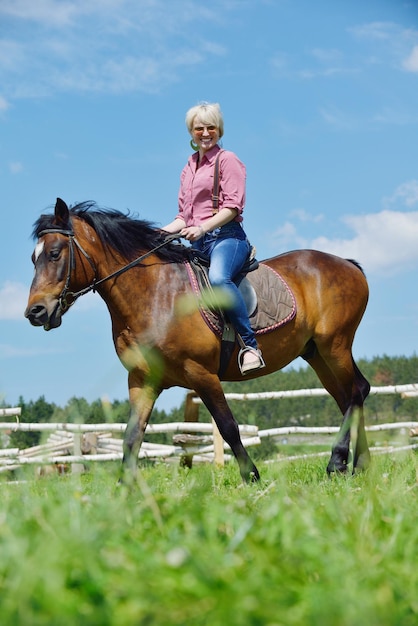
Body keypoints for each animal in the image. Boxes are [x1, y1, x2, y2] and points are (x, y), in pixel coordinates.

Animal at [24, 197, 370, 480]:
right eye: (33, 258)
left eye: (54, 253)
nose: (35, 312)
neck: (155, 294)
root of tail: (349, 265)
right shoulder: (142, 381)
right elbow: (131, 437)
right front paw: (126, 491)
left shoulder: (201, 373)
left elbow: (228, 427)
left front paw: (251, 477)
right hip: (316, 353)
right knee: (349, 397)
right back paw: (358, 465)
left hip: (335, 345)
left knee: (356, 391)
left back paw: (337, 462)